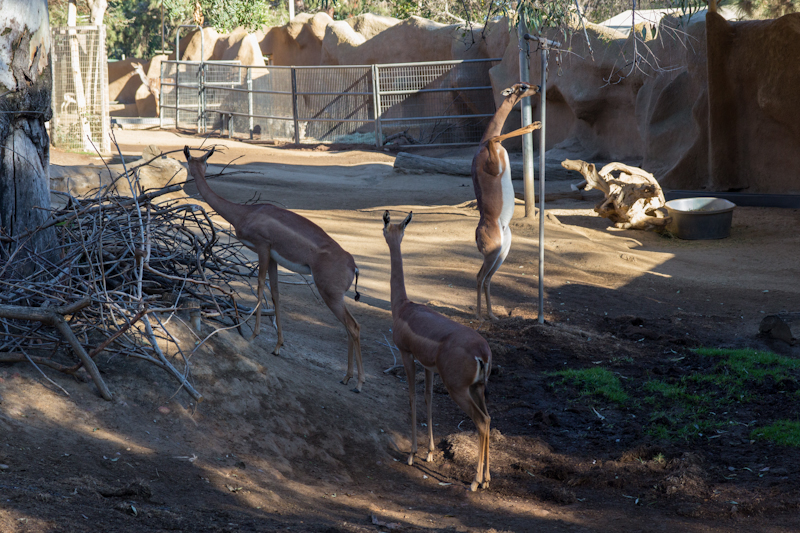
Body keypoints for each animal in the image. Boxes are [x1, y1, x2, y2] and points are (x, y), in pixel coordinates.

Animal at [183, 147, 365, 392]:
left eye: (195, 162)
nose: (188, 179)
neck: (245, 213)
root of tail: (353, 265)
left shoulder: (262, 248)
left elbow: (261, 286)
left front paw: (252, 335)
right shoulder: (273, 258)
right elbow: (276, 294)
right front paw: (278, 346)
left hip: (330, 295)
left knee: (353, 327)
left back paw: (359, 383)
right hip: (337, 298)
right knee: (348, 327)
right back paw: (346, 377)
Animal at [382, 211, 492, 491]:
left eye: (384, 228)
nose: (389, 233)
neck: (403, 307)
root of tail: (482, 352)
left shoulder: (407, 354)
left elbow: (411, 396)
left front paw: (412, 454)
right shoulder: (428, 366)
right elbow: (428, 398)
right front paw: (430, 452)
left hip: (458, 390)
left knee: (481, 422)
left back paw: (474, 482)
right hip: (478, 388)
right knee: (488, 418)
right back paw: (486, 479)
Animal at [472, 83, 542, 321]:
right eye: (522, 86)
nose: (538, 86)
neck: (481, 144)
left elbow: (497, 138)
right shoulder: (493, 162)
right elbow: (497, 138)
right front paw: (534, 125)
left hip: (503, 252)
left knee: (487, 279)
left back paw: (492, 315)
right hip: (493, 254)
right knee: (479, 277)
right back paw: (480, 316)